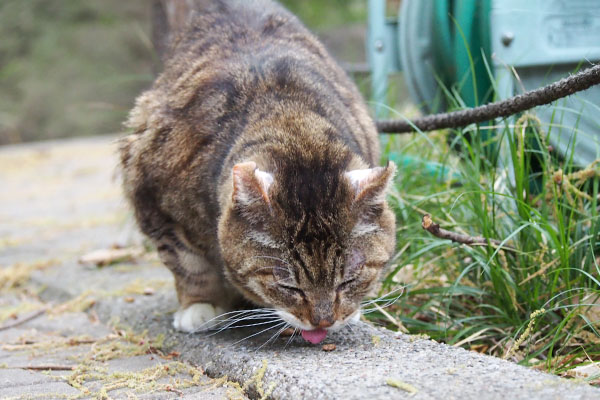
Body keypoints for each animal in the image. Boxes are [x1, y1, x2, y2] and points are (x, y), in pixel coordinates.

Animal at [119, 0, 396, 344]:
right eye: (289, 286)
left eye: (348, 281)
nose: (323, 321)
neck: (291, 122)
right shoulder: (152, 198)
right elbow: (187, 261)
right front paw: (200, 305)